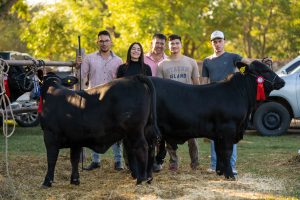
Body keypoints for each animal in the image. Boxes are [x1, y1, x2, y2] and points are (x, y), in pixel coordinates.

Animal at [149, 60, 284, 179]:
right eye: (265, 71)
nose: (281, 81)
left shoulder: (219, 133)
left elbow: (219, 151)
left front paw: (220, 172)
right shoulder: (228, 128)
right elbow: (227, 151)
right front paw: (230, 175)